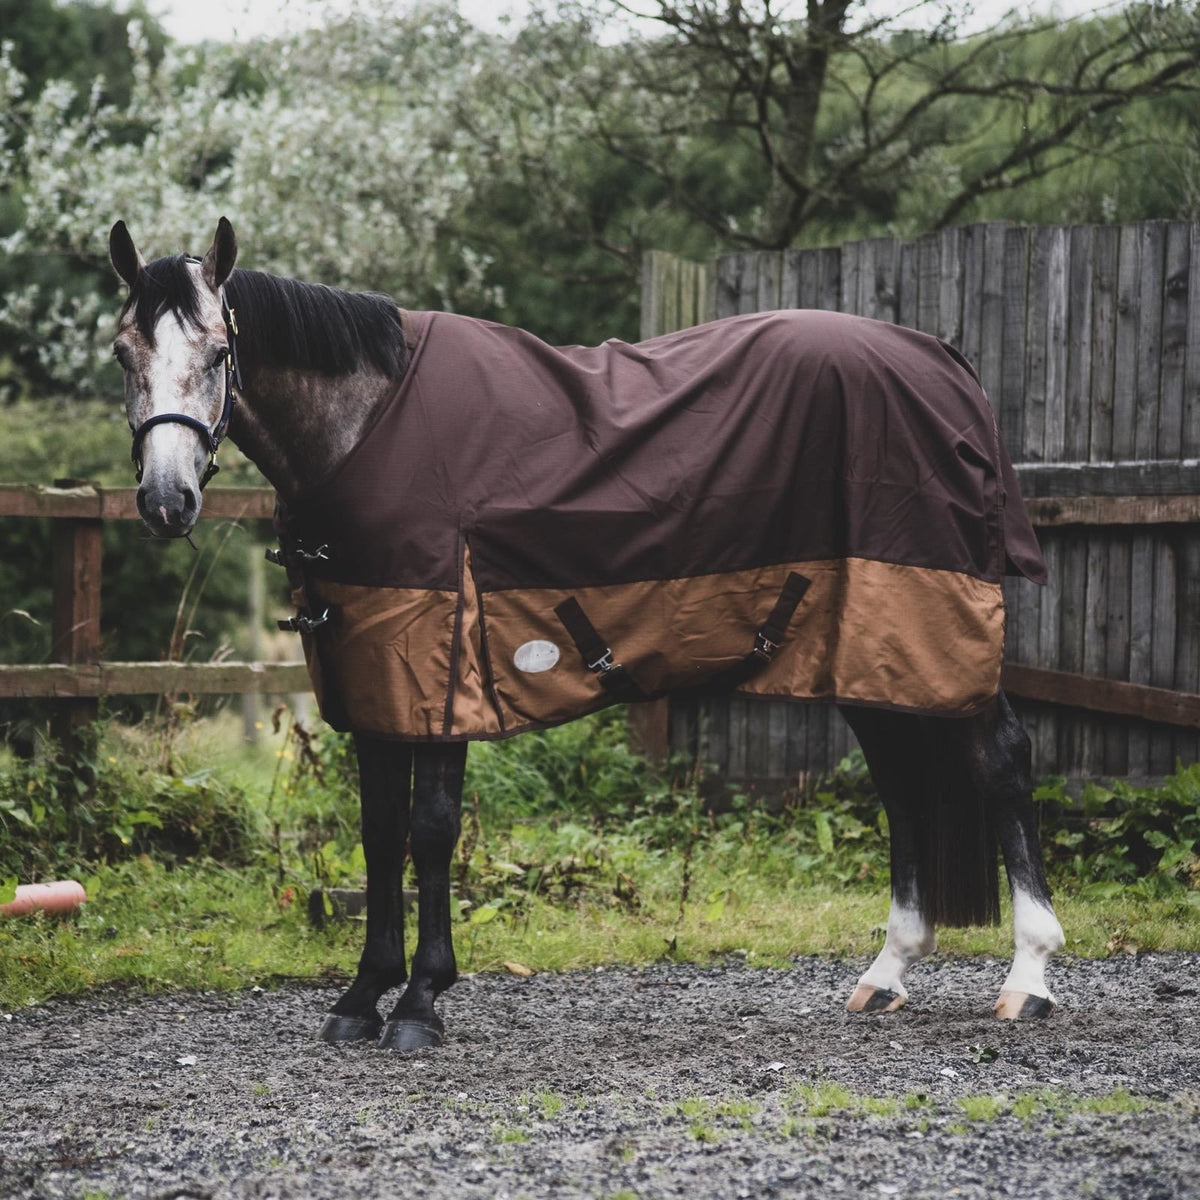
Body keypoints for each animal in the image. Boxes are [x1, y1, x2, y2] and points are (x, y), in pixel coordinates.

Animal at [107, 217, 1065, 1050]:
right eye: (124, 353)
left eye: (220, 353)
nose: (166, 501)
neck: (369, 427)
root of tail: (942, 361)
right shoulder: (372, 670)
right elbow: (378, 833)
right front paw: (360, 996)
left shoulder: (443, 666)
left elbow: (429, 830)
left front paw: (419, 1002)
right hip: (871, 645)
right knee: (902, 780)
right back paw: (888, 972)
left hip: (928, 621)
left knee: (1001, 760)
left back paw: (1029, 977)